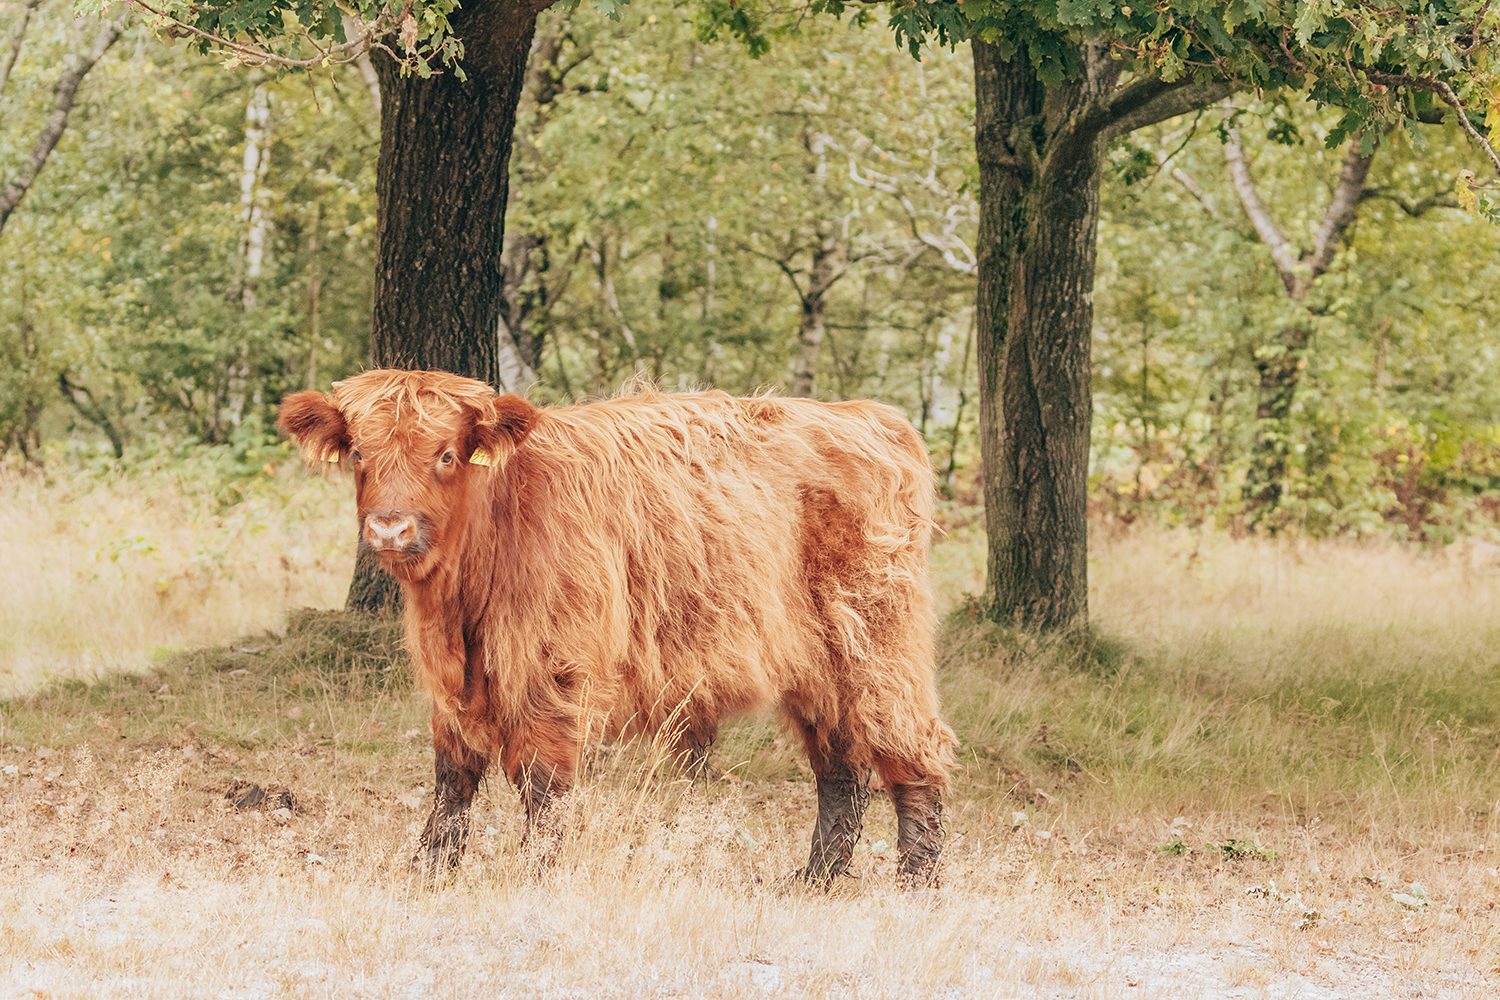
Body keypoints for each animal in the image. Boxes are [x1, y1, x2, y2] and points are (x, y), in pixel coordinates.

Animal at [277, 371, 954, 887]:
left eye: (445, 454)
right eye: (360, 455)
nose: (389, 529)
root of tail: (867, 418)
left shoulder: (552, 671)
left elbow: (543, 783)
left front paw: (537, 875)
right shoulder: (456, 687)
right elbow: (453, 777)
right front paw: (430, 870)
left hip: (878, 639)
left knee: (910, 748)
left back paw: (916, 882)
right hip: (816, 664)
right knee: (839, 769)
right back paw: (816, 881)